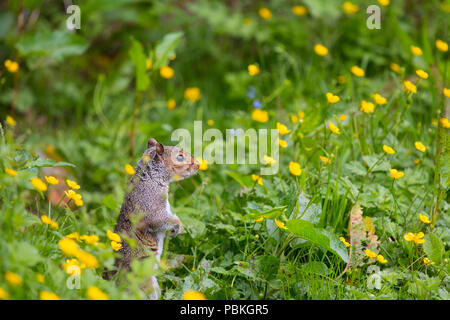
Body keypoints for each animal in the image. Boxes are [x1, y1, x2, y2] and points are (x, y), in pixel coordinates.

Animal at [105, 138, 199, 300]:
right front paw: (177, 226)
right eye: (179, 157)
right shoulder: (150, 204)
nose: (198, 165)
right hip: (144, 282)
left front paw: (173, 231)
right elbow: (160, 220)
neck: (151, 177)